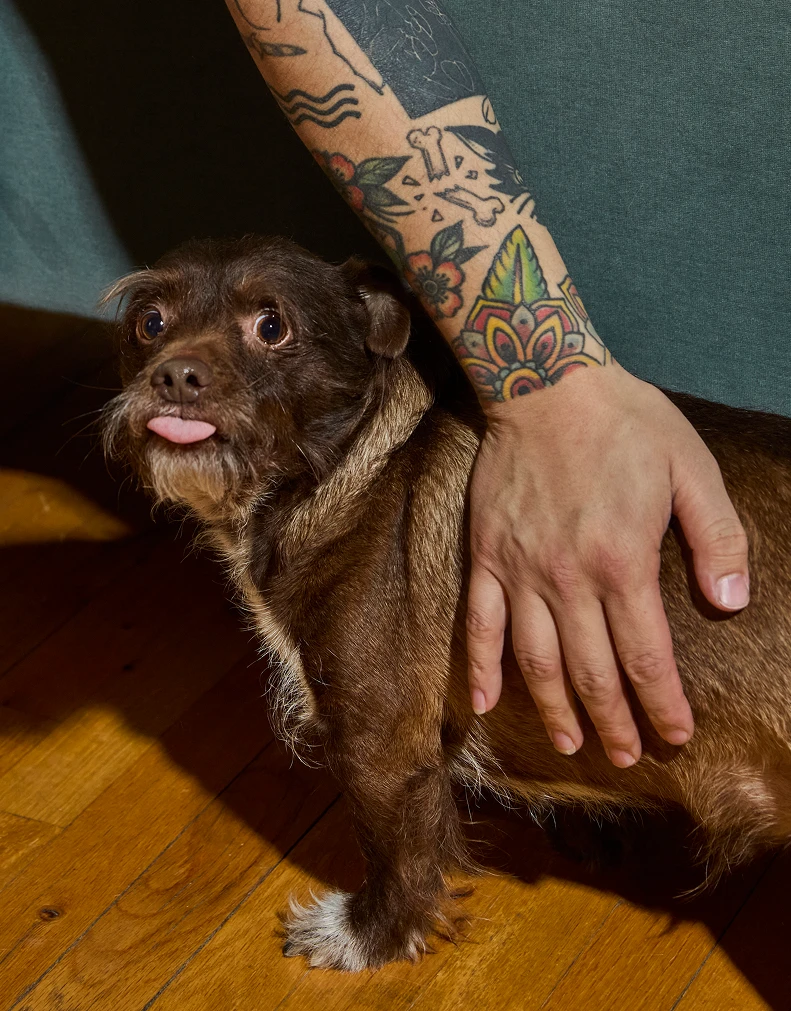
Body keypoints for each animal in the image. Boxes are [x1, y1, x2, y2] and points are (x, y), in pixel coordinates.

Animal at [102, 234, 791, 971]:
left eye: (271, 325)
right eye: (149, 323)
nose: (175, 376)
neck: (347, 463)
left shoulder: (383, 743)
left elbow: (397, 853)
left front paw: (363, 937)